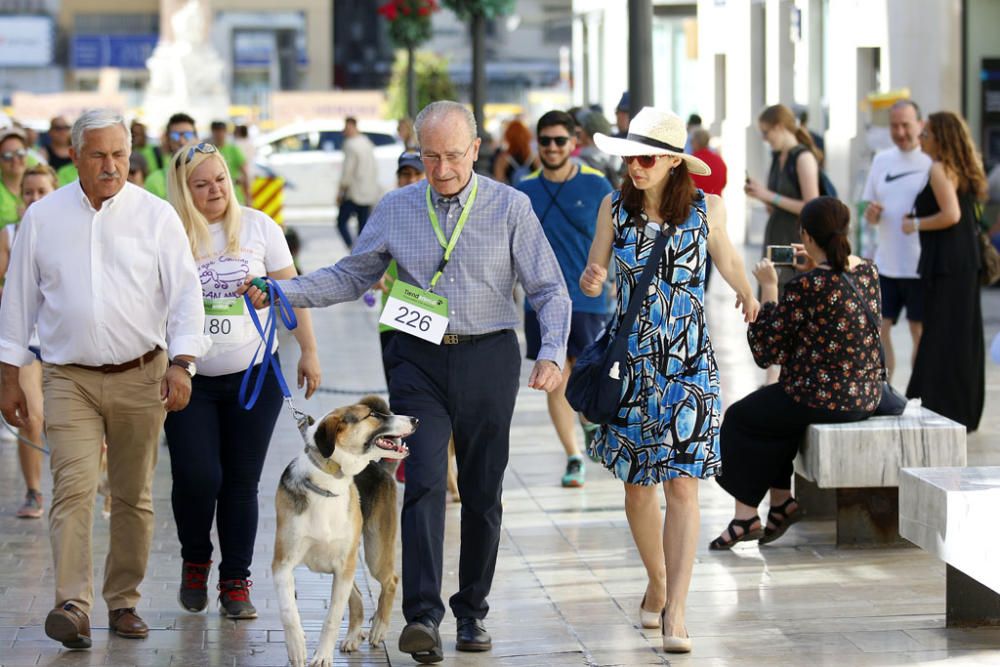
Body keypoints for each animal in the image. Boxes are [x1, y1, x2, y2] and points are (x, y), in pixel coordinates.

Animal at [270, 396, 414, 667]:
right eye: (373, 415)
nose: (415, 419)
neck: (328, 480)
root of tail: (380, 468)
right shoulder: (282, 564)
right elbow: (287, 611)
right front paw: (297, 648)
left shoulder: (343, 566)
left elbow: (332, 618)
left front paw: (322, 657)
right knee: (357, 596)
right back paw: (353, 637)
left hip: (372, 554)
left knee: (390, 580)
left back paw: (378, 628)